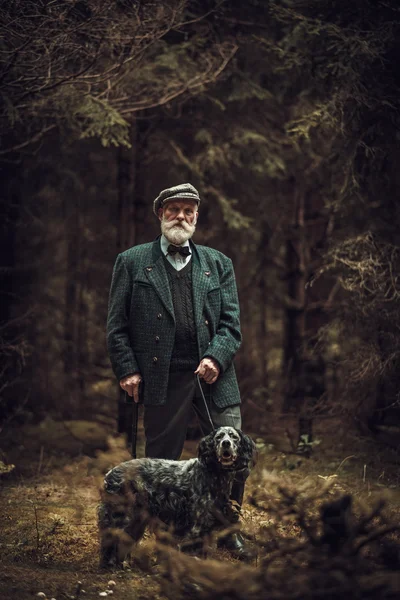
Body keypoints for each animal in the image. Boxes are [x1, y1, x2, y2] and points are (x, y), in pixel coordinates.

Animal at [98, 426, 255, 568]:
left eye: (234, 437)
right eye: (219, 437)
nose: (226, 443)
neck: (213, 474)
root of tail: (110, 473)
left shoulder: (208, 527)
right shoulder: (196, 526)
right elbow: (193, 552)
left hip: (137, 519)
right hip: (121, 516)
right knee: (111, 540)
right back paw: (109, 563)